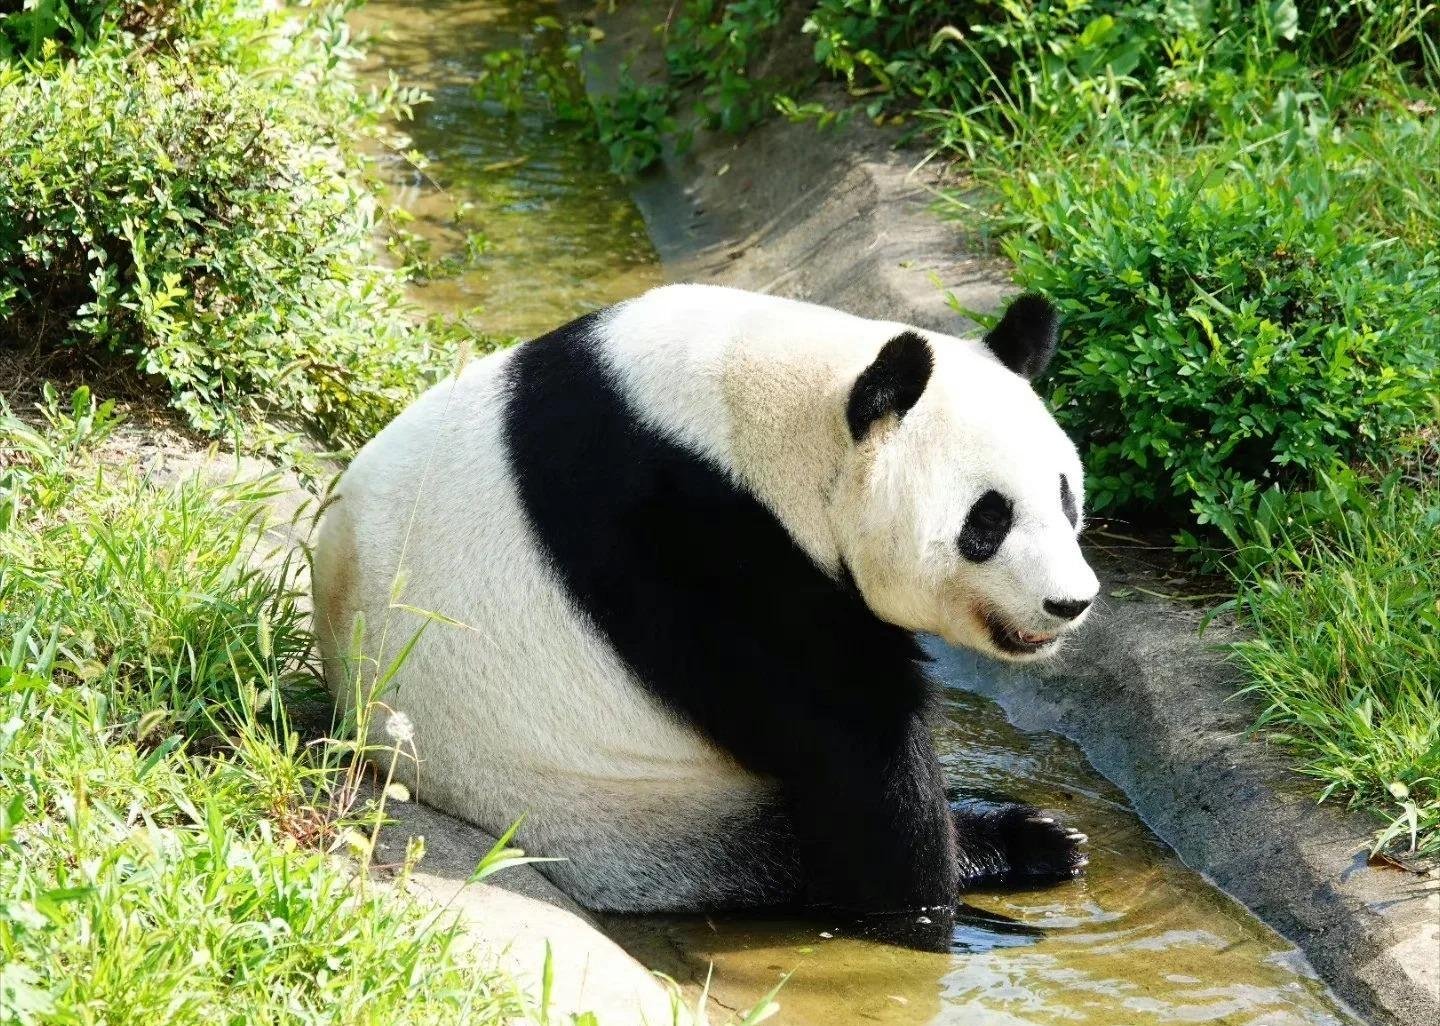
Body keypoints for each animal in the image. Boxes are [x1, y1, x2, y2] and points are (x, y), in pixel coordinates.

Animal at [312, 283, 1100, 930]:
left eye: (1065, 496)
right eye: (987, 520)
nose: (1070, 602)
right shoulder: (690, 547)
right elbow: (851, 736)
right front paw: (921, 906)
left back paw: (1030, 835)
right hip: (624, 811)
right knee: (781, 855)